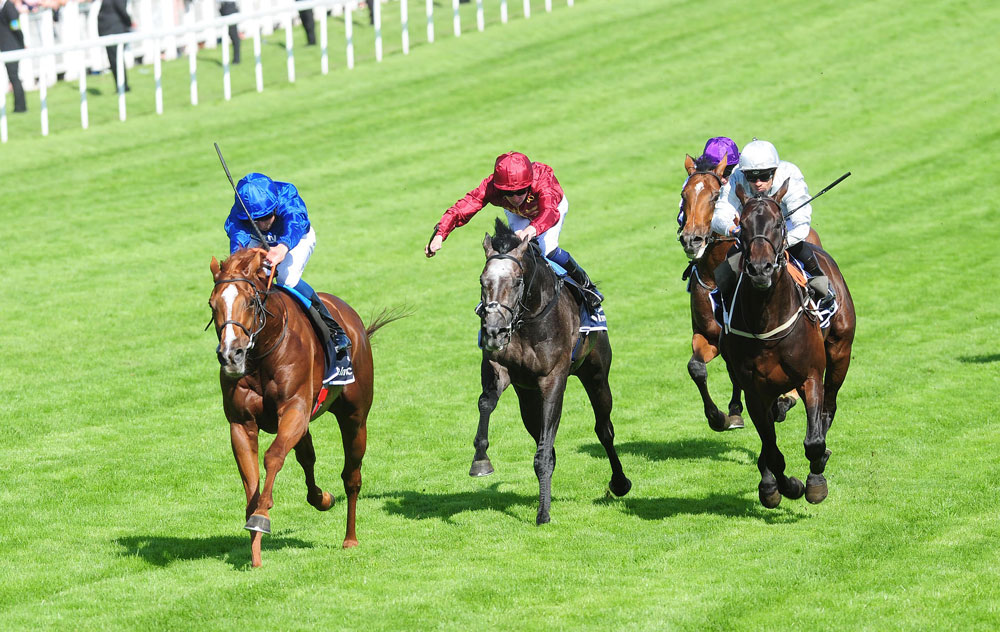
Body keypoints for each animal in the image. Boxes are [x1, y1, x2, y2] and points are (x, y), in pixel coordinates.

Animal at [208, 248, 398, 568]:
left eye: (250, 301)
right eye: (213, 304)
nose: (231, 355)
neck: (262, 354)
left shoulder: (294, 409)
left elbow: (272, 457)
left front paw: (261, 517)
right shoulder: (241, 424)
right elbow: (251, 480)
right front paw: (255, 550)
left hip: (355, 417)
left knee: (352, 476)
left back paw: (350, 538)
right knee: (307, 458)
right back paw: (322, 498)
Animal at [470, 220, 628, 524]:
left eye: (517, 281)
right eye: (483, 282)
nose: (494, 331)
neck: (528, 319)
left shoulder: (553, 379)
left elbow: (543, 453)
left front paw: (543, 514)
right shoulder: (501, 369)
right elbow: (486, 403)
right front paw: (480, 460)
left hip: (596, 374)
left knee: (604, 429)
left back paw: (620, 483)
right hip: (528, 398)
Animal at [676, 154, 824, 432]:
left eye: (715, 196)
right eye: (684, 194)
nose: (692, 239)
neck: (714, 276)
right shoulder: (707, 335)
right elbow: (696, 368)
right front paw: (720, 417)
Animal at [720, 180, 860, 506]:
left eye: (778, 223)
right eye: (742, 225)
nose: (761, 269)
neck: (768, 322)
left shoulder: (810, 376)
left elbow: (813, 441)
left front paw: (815, 479)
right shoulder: (754, 391)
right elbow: (772, 450)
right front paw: (781, 487)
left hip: (840, 353)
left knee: (829, 407)